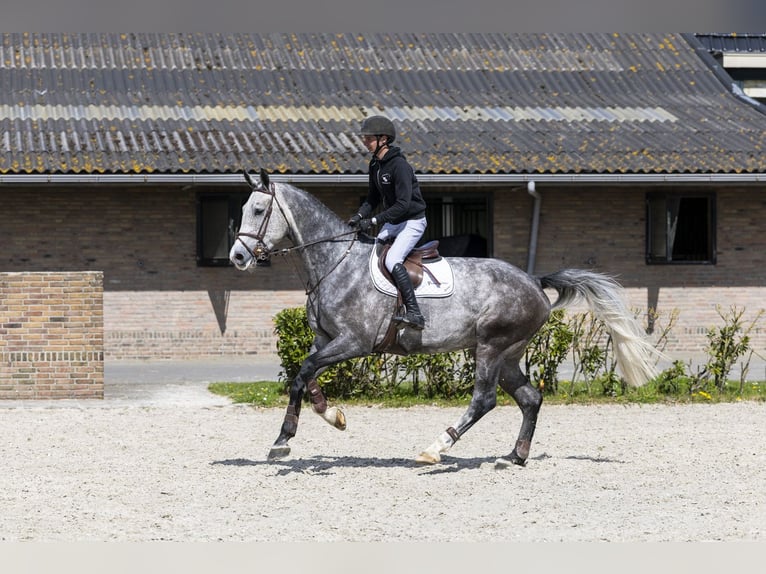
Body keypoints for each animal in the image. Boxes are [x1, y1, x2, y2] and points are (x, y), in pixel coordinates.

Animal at [229, 169, 660, 467]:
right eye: (242, 210)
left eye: (258, 210)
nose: (237, 257)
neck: (334, 263)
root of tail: (534, 281)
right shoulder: (326, 340)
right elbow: (305, 376)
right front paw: (328, 418)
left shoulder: (353, 342)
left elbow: (304, 372)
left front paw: (286, 439)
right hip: (506, 354)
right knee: (530, 398)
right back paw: (514, 457)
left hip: (491, 346)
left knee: (485, 399)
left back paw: (436, 447)